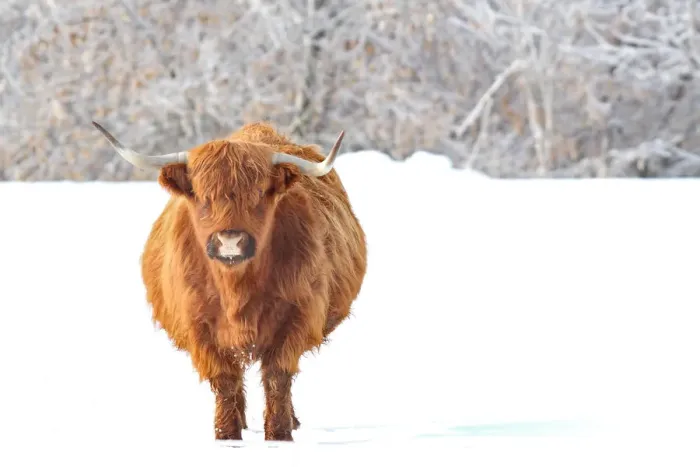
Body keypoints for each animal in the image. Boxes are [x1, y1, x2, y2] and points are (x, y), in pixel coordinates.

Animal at [92, 120, 368, 442]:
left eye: (259, 193)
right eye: (202, 195)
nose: (230, 241)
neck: (236, 288)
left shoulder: (297, 317)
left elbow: (277, 377)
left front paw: (279, 435)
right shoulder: (199, 327)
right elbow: (225, 380)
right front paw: (227, 436)